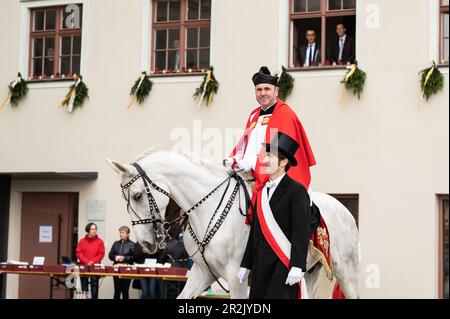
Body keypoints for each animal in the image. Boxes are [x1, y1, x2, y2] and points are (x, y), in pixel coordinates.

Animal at [104, 150, 358, 300]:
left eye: (137, 196)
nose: (146, 244)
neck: (208, 209)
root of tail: (345, 209)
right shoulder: (202, 273)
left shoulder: (237, 276)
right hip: (309, 272)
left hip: (346, 271)